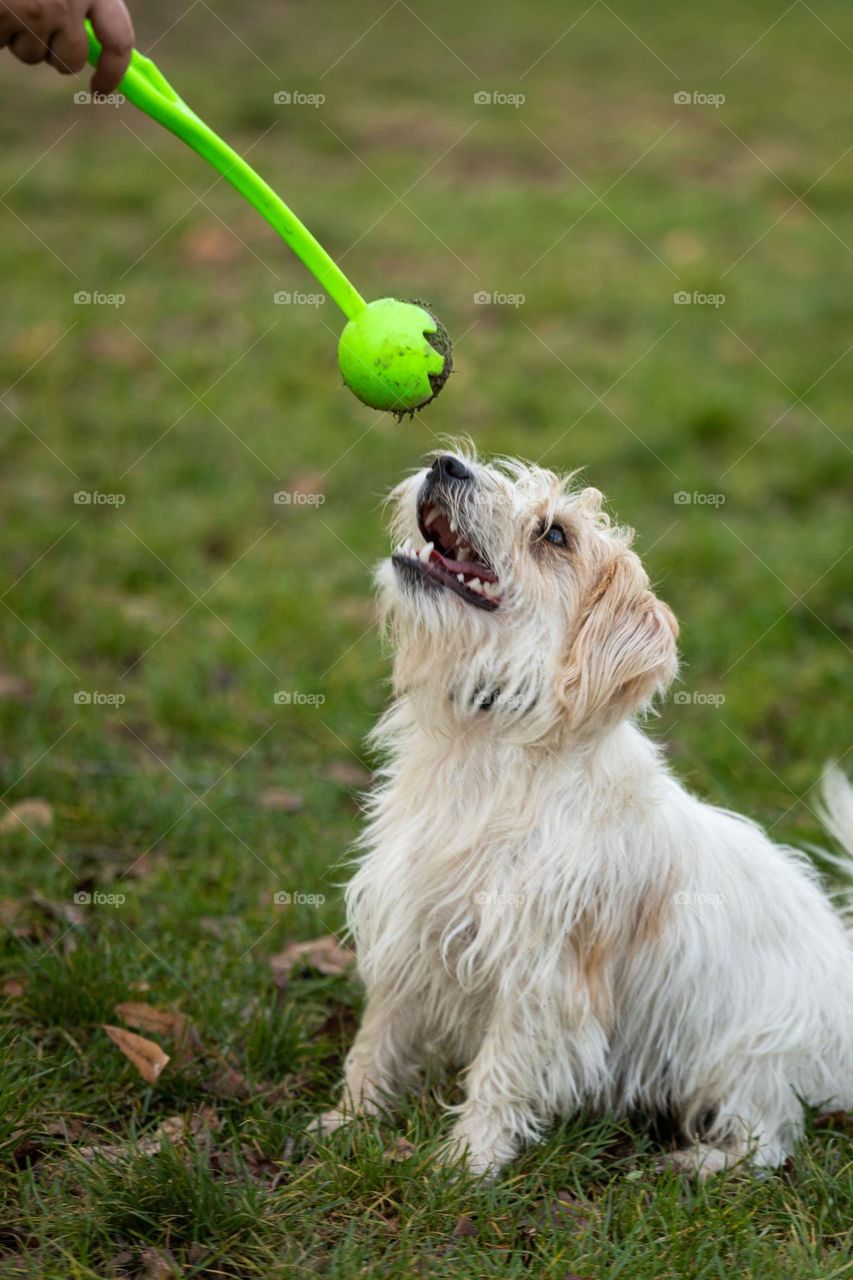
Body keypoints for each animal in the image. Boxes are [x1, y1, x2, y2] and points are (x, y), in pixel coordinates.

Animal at [318, 450, 850, 1177]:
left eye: (554, 535)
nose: (445, 463)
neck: (488, 746)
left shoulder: (542, 977)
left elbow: (501, 1070)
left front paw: (466, 1163)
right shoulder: (409, 925)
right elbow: (378, 1039)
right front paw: (348, 1121)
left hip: (753, 1055)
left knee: (765, 1139)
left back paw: (691, 1165)